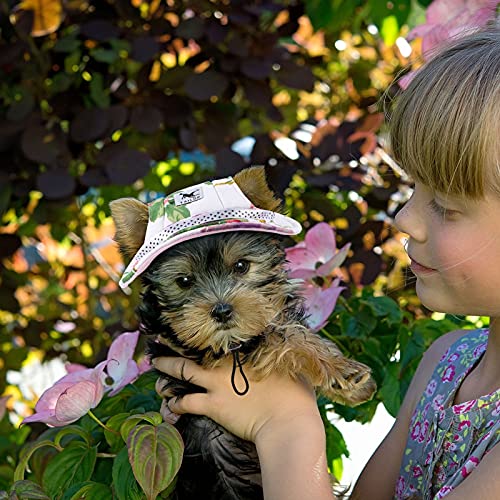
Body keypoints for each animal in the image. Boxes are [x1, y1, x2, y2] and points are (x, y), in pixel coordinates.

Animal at [110, 167, 376, 500]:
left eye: (240, 266)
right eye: (183, 281)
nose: (222, 311)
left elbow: (286, 330)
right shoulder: (200, 348)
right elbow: (279, 338)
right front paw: (345, 374)